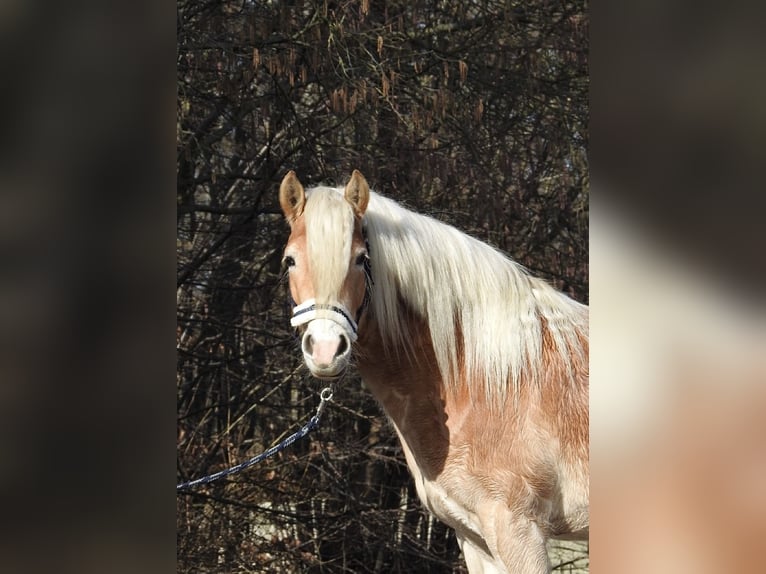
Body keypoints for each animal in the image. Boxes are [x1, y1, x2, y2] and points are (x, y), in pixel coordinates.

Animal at [280, 171, 592, 574]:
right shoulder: (475, 538)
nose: (325, 349)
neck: (480, 381)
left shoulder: (520, 531)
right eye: (289, 260)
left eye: (361, 259)